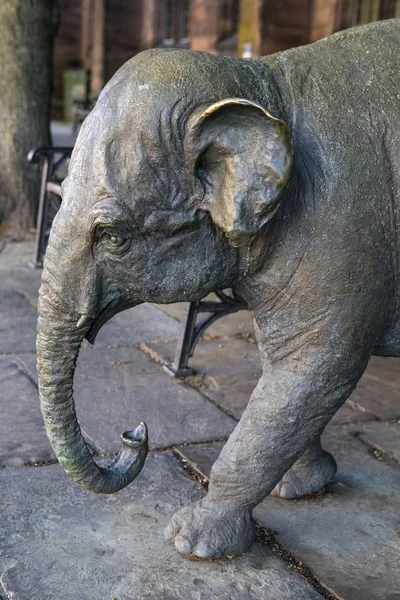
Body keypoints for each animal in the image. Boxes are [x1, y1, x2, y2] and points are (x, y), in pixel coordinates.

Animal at [36, 19, 400, 564]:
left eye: (112, 236)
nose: (134, 432)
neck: (266, 83)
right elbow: (293, 371)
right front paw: (300, 486)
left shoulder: (346, 234)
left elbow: (316, 365)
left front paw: (192, 541)